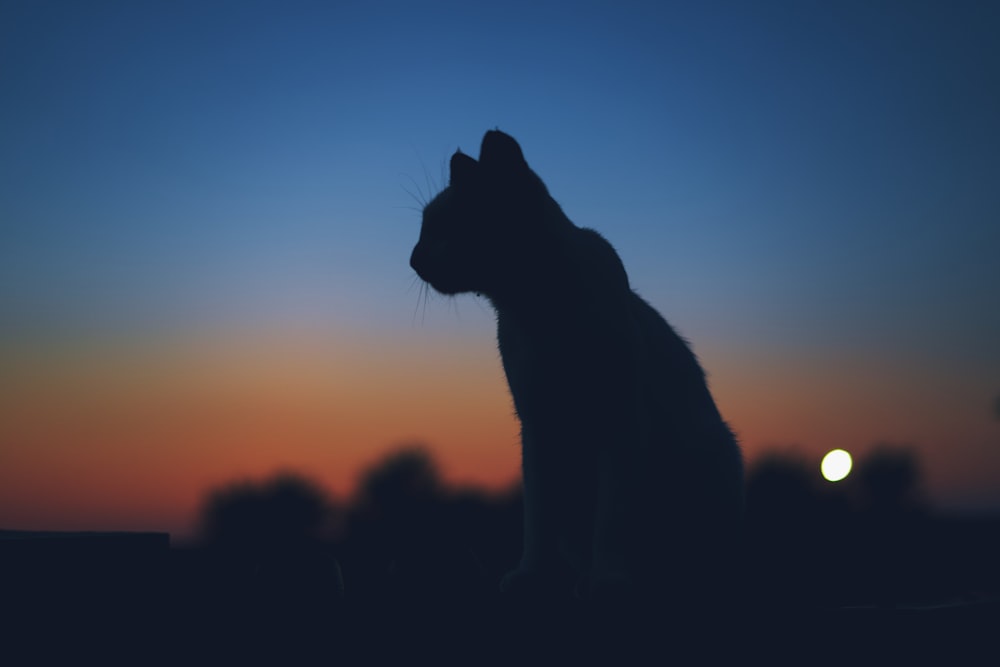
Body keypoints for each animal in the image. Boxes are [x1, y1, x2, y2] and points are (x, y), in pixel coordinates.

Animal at [406, 129, 744, 604]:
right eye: (423, 229)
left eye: (445, 228)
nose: (413, 258)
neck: (537, 309)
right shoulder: (538, 426)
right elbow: (538, 520)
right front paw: (533, 577)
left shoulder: (621, 421)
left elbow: (613, 517)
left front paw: (610, 583)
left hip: (714, 456)